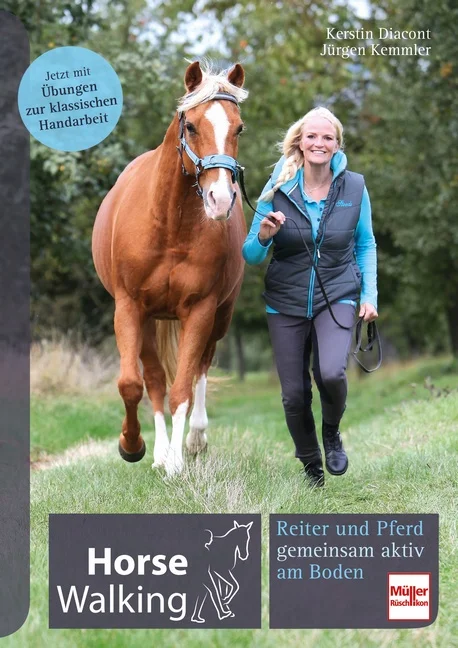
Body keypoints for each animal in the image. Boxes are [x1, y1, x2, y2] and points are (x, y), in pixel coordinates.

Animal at [92, 61, 247, 476]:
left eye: (239, 128)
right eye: (190, 125)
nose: (220, 199)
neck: (169, 225)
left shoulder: (201, 310)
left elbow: (183, 388)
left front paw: (177, 462)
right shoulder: (129, 308)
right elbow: (134, 384)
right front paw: (133, 446)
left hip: (221, 316)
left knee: (200, 370)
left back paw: (193, 440)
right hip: (149, 319)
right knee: (155, 379)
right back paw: (159, 451)